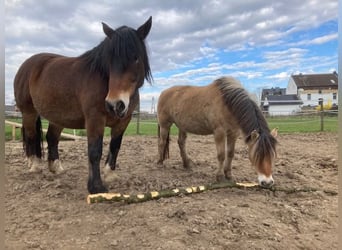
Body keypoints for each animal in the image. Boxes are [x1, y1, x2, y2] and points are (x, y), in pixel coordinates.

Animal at [13, 16, 152, 194]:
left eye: (136, 58)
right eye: (110, 60)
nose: (115, 104)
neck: (103, 79)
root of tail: (27, 65)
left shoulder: (123, 121)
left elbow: (115, 146)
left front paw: (110, 175)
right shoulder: (94, 119)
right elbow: (95, 151)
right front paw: (96, 187)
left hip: (58, 116)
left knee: (51, 137)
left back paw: (56, 168)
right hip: (28, 112)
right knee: (31, 136)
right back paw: (34, 166)